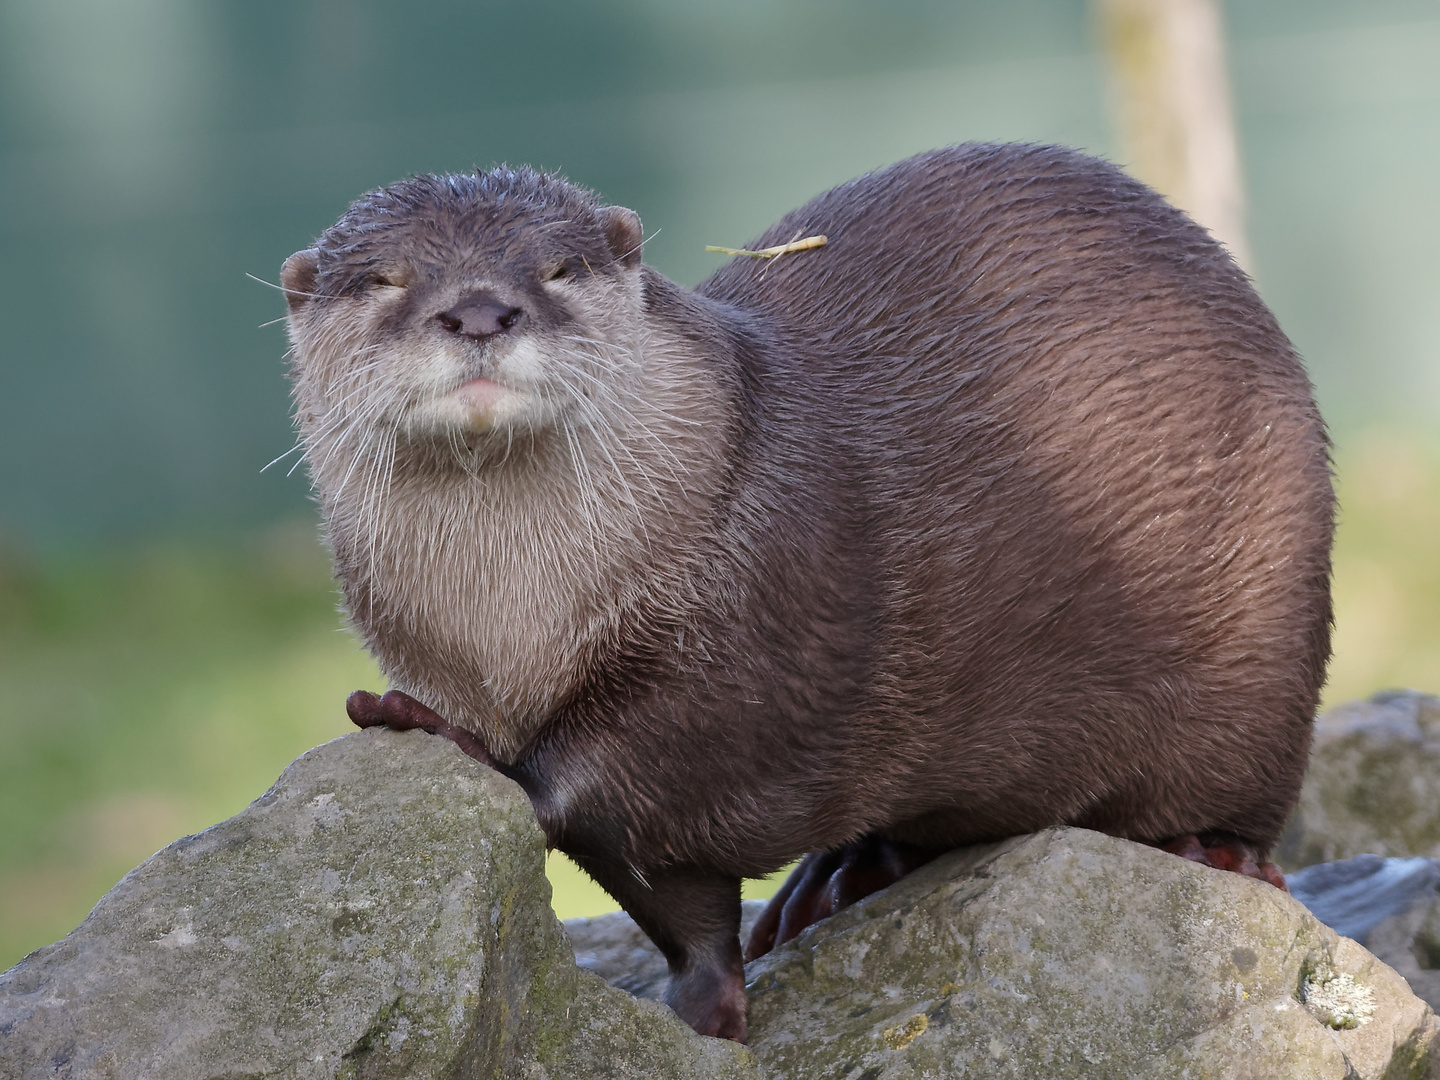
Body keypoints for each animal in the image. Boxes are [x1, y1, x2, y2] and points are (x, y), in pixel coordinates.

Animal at [280, 148, 1336, 1042]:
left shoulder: (755, 638)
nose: (479, 311)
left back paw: (1211, 850)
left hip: (1269, 646)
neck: (514, 640)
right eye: (384, 279)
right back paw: (839, 880)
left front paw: (446, 738)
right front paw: (704, 1007)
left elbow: (609, 783)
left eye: (559, 268)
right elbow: (674, 903)